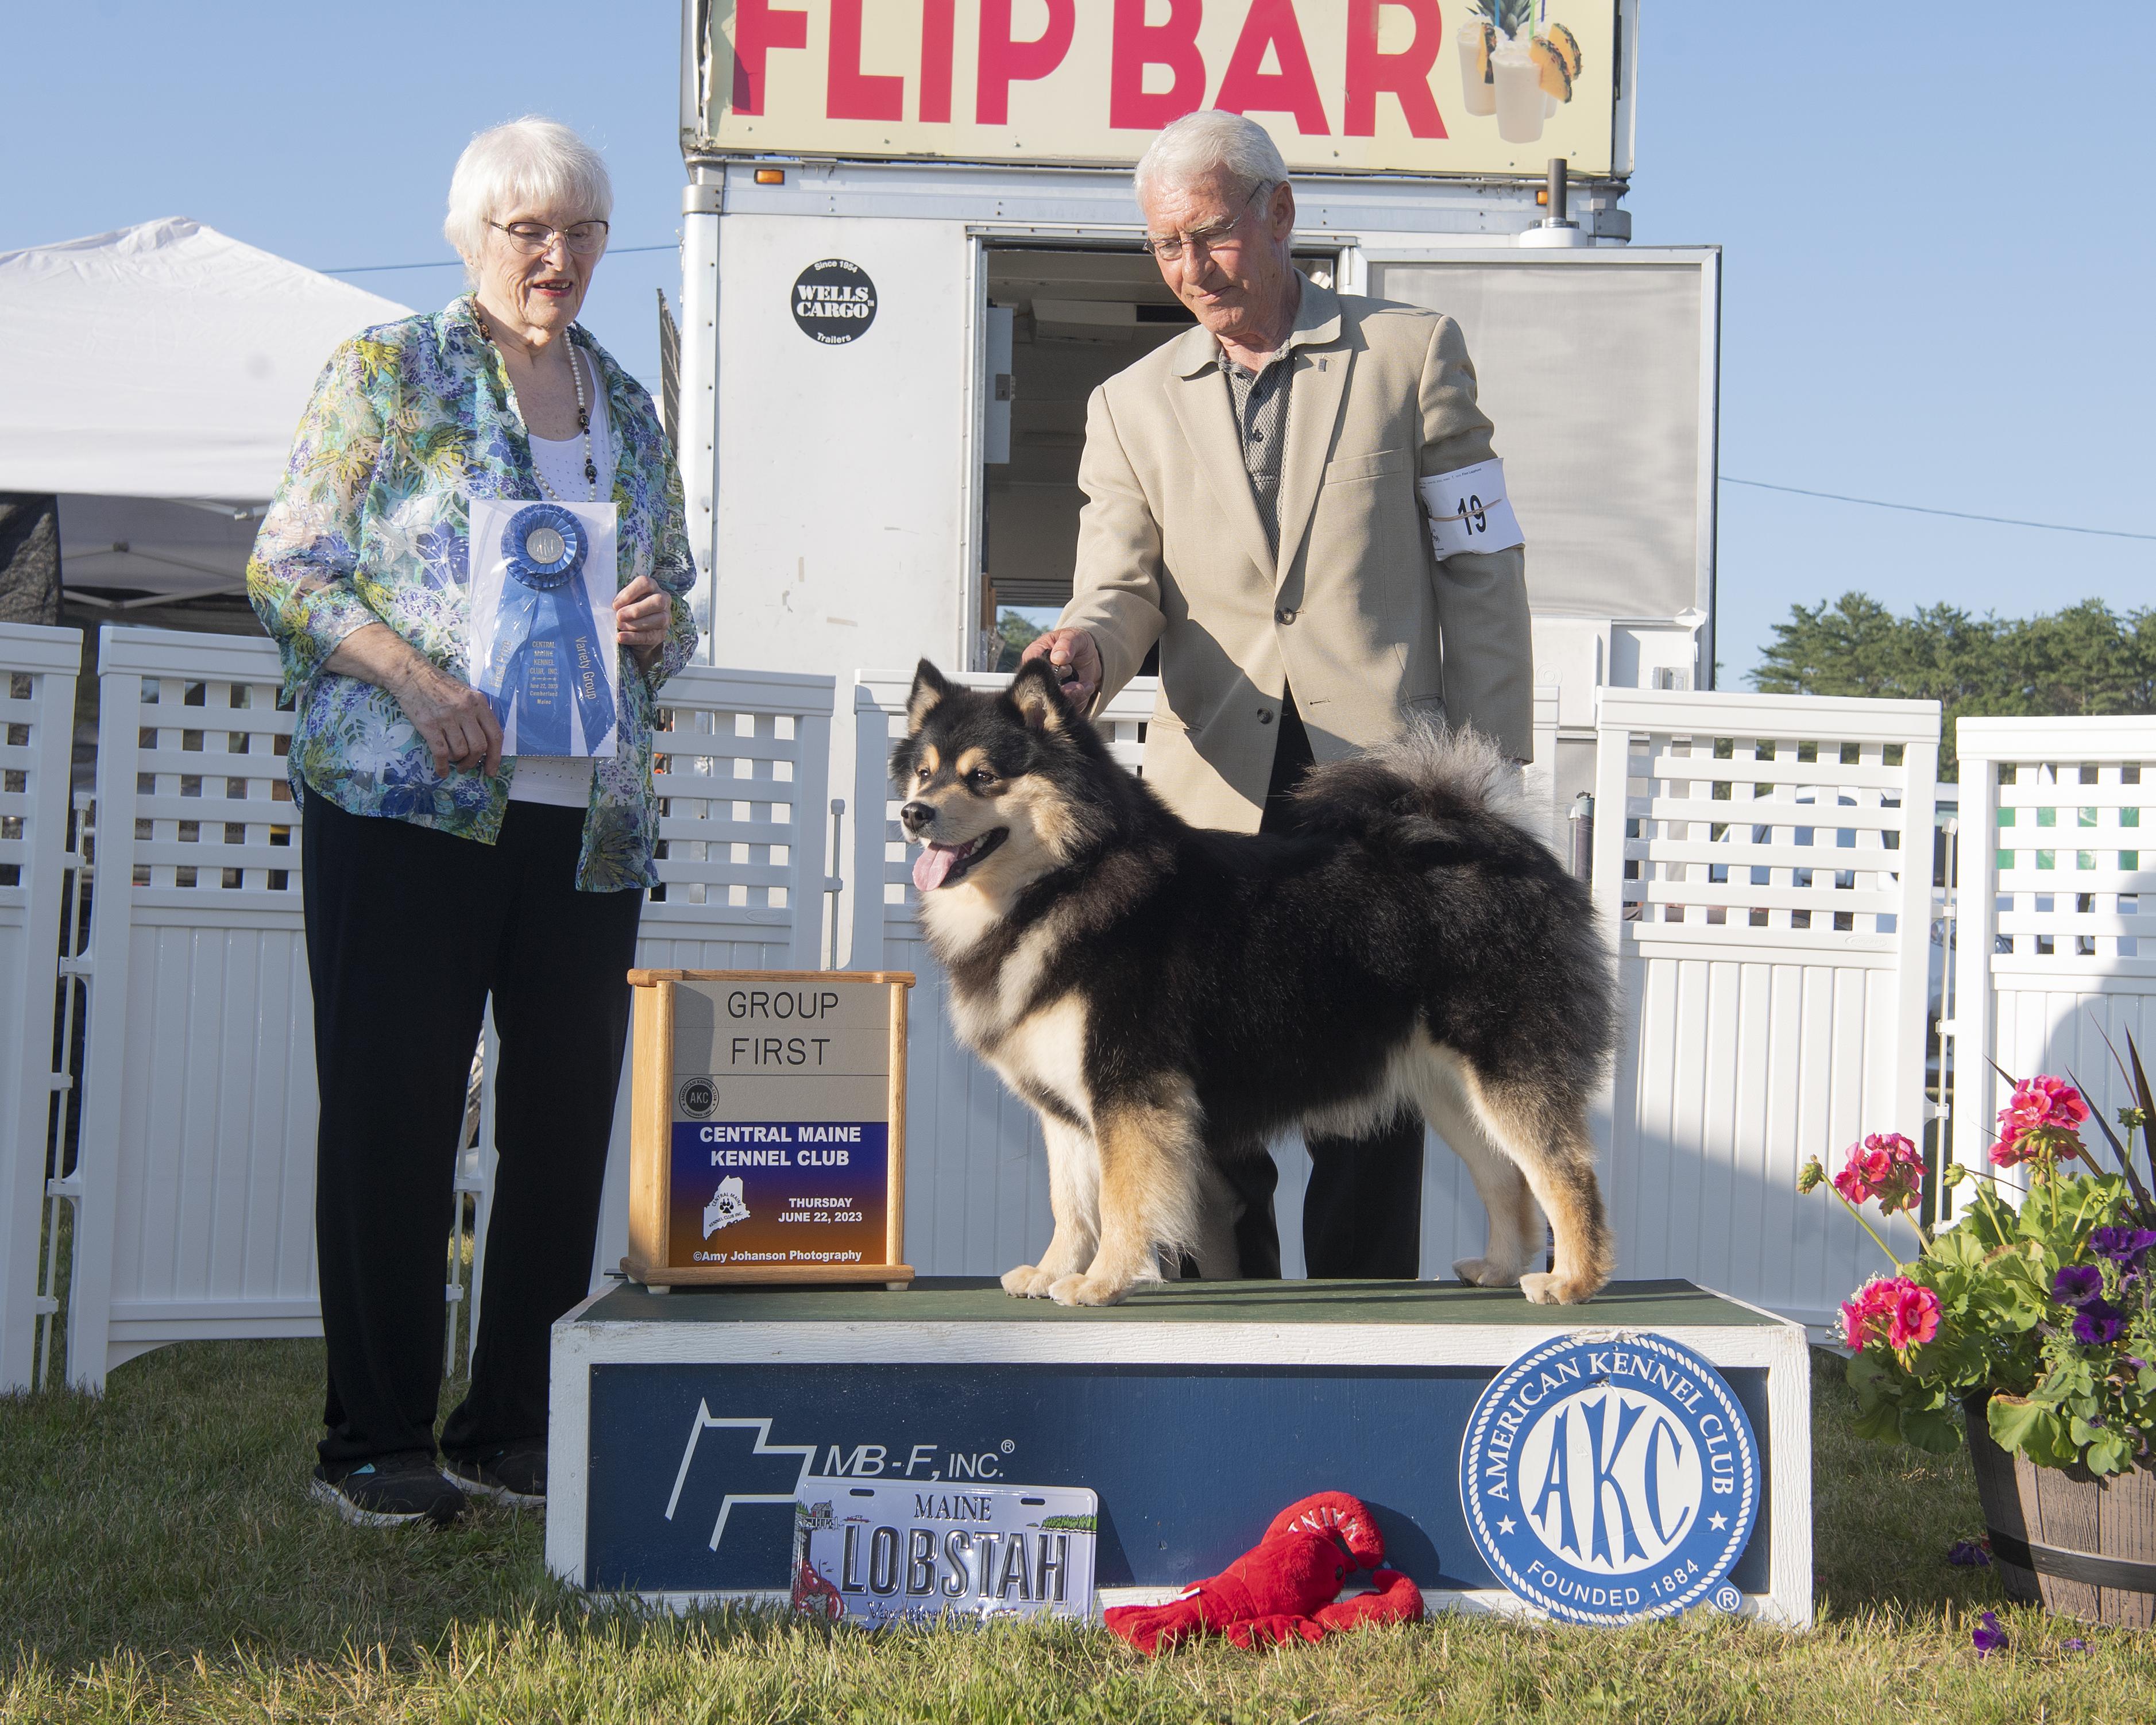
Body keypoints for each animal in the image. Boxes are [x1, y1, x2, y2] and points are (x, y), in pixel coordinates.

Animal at [894, 658, 1615, 1307]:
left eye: (982, 777)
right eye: (925, 772)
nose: (912, 813)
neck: (1065, 878)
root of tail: (1502, 843)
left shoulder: (1129, 1087)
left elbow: (1122, 1199)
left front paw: (1102, 1282)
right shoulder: (1068, 1106)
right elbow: (1070, 1202)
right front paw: (1051, 1272)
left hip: (1507, 1070)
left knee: (1566, 1174)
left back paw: (1571, 1282)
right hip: (1454, 1093)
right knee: (1507, 1182)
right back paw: (1499, 1269)